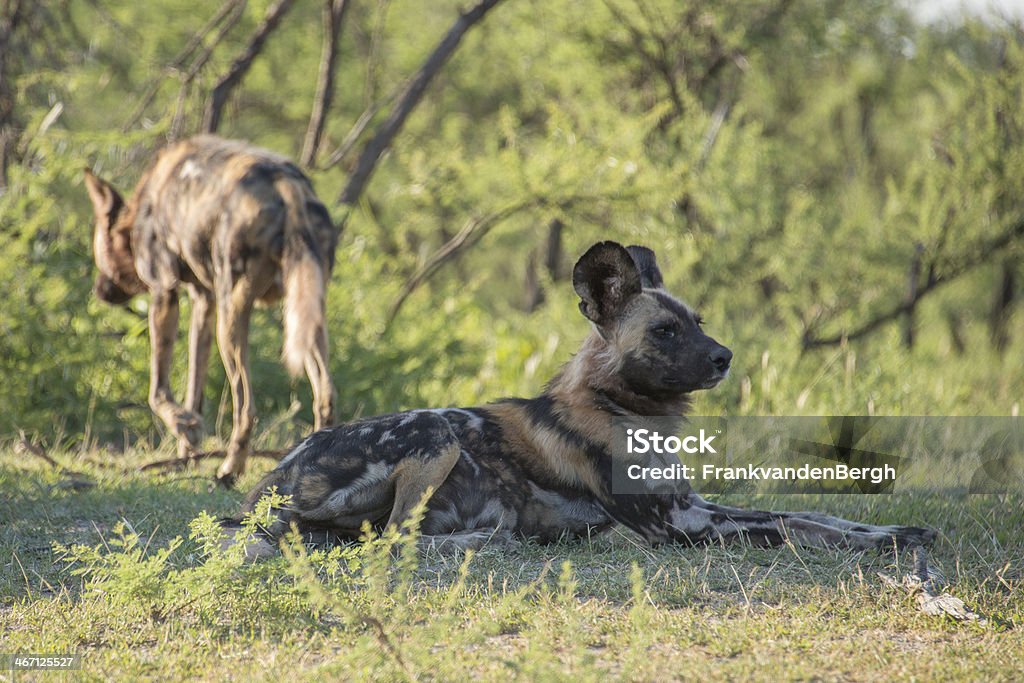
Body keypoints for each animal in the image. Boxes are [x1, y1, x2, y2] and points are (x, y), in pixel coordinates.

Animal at [84, 136, 339, 483]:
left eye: (99, 251)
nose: (99, 290)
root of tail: (287, 183)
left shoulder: (164, 293)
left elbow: (157, 390)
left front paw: (184, 428)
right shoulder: (203, 301)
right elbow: (195, 389)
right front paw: (186, 452)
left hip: (230, 322)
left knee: (246, 406)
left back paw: (229, 470)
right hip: (304, 316)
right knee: (325, 393)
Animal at [230, 242, 937, 557]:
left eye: (699, 321)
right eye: (665, 331)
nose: (725, 357)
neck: (626, 412)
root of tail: (268, 484)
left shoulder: (693, 504)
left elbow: (818, 515)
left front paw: (897, 532)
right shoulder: (677, 525)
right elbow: (793, 524)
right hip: (434, 430)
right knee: (396, 539)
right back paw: (486, 541)